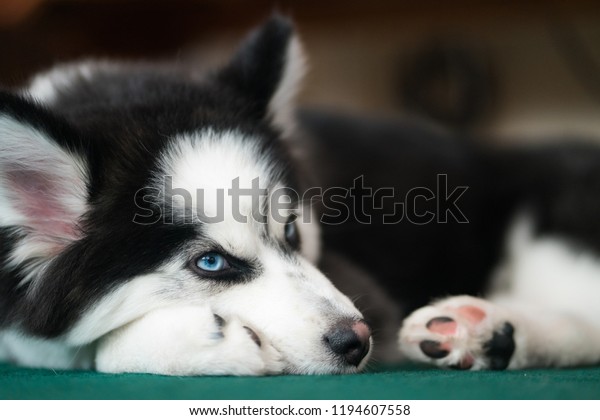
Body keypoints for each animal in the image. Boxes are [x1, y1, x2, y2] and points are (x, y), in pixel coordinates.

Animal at [0, 15, 596, 374]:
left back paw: (489, 330)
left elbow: (97, 354)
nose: (357, 341)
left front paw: (199, 341)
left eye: (290, 230)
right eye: (211, 263)